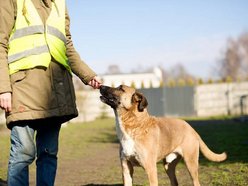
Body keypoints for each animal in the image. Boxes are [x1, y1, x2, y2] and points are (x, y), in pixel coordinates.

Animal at [99, 84, 227, 186]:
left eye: (120, 88)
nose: (101, 86)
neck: (135, 125)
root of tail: (191, 128)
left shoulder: (151, 169)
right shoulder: (126, 168)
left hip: (191, 163)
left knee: (196, 182)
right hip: (168, 165)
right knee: (174, 182)